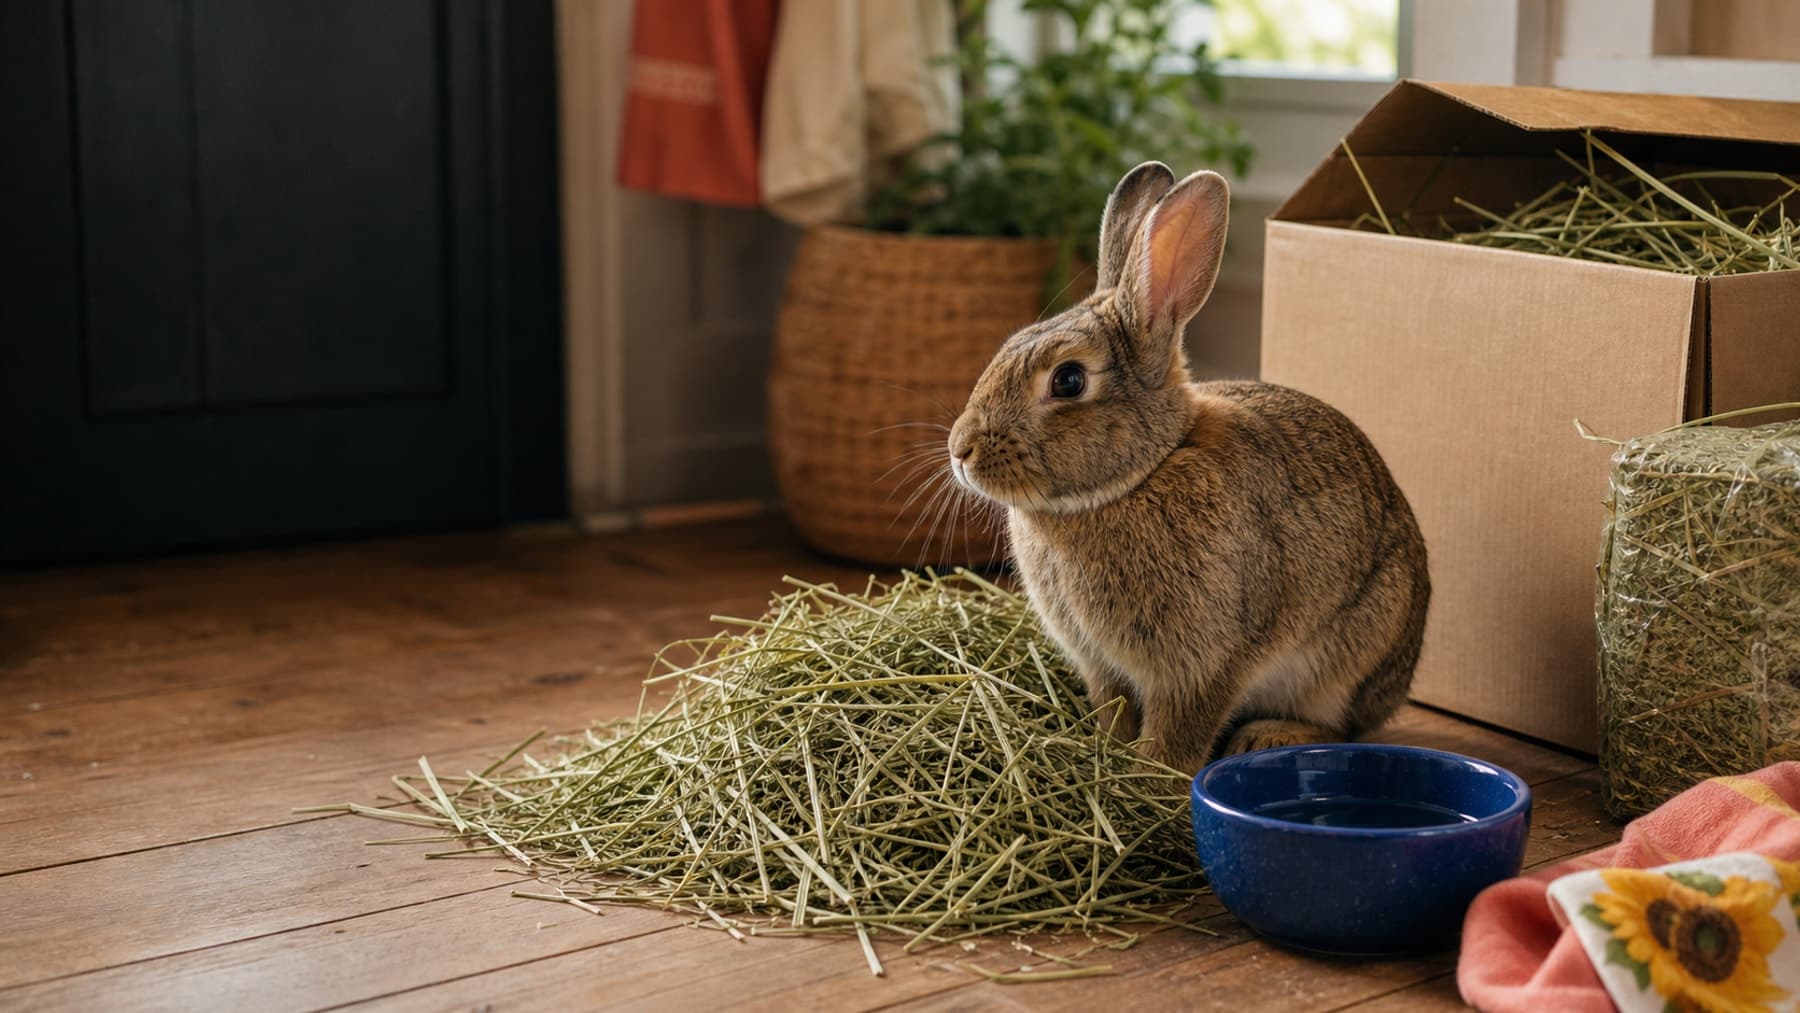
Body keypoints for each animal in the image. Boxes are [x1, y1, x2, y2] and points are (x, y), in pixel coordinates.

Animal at [946, 162, 1430, 778]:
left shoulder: (1203, 663)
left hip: (1354, 653)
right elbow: (1112, 708)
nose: (960, 451)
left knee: (1342, 724)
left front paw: (1149, 778)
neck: (1141, 474)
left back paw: (1267, 736)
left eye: (1069, 380)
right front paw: (1107, 750)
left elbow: (1181, 730)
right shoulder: (1102, 664)